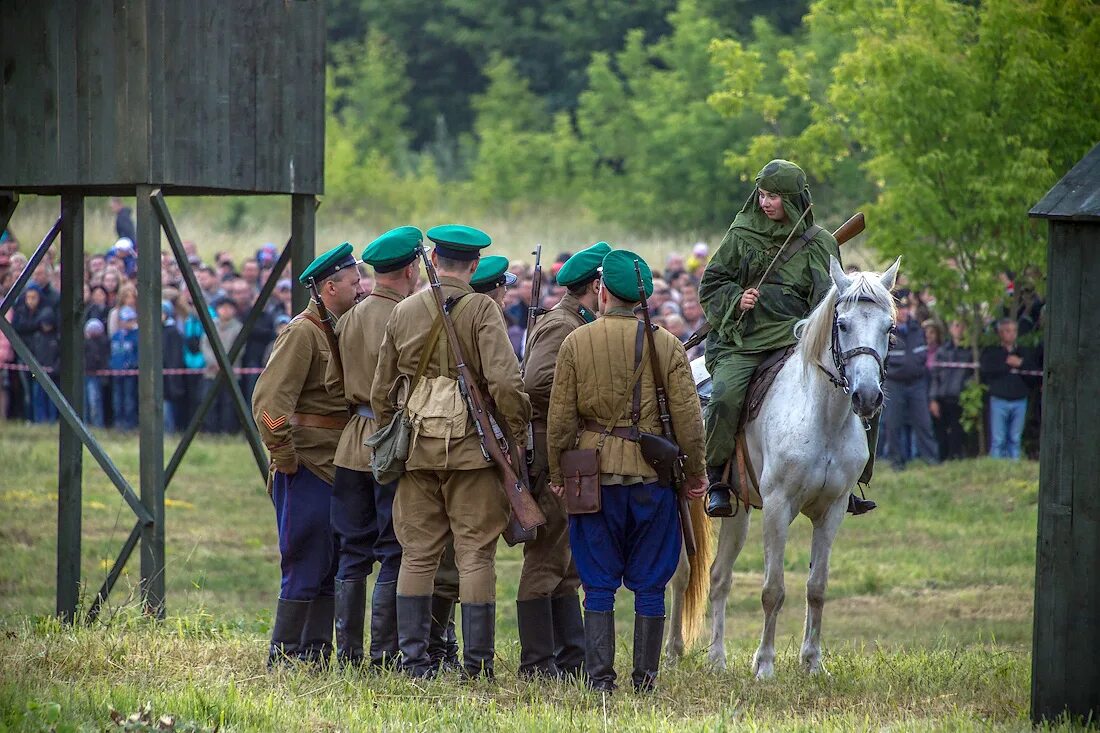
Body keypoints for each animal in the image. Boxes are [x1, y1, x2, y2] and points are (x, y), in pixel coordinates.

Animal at [664, 255, 897, 673]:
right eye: (842, 324)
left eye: (889, 327)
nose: (868, 397)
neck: (822, 415)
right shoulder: (777, 506)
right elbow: (773, 589)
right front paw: (765, 665)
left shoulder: (832, 510)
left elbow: (816, 587)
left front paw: (812, 663)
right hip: (686, 505)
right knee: (683, 574)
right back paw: (674, 651)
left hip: (737, 510)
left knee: (719, 577)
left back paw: (717, 659)